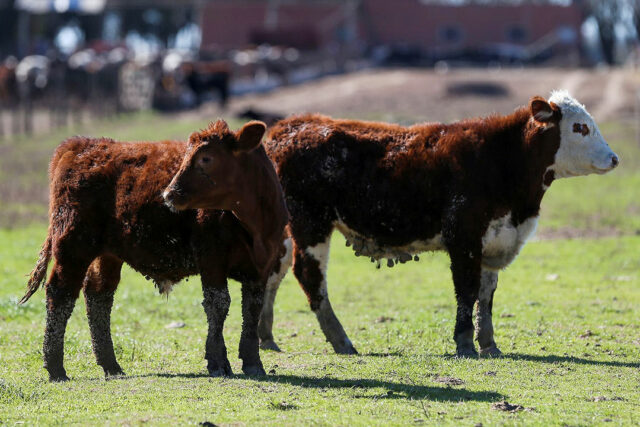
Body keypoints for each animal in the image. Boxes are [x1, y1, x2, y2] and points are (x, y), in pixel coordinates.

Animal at [19, 119, 288, 381]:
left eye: (206, 158)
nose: (169, 193)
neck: (255, 226)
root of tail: (79, 144)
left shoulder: (262, 267)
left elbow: (252, 309)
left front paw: (253, 363)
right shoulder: (211, 259)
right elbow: (218, 305)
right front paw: (218, 363)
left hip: (107, 253)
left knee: (98, 294)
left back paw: (111, 365)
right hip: (73, 244)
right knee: (60, 292)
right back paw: (56, 368)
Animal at [258, 91, 619, 357]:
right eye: (580, 127)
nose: (614, 158)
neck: (502, 159)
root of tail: (289, 126)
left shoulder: (494, 240)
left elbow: (486, 296)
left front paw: (489, 345)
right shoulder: (464, 238)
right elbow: (467, 291)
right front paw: (465, 343)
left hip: (287, 230)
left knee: (274, 271)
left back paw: (266, 337)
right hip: (311, 224)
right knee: (310, 276)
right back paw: (342, 341)